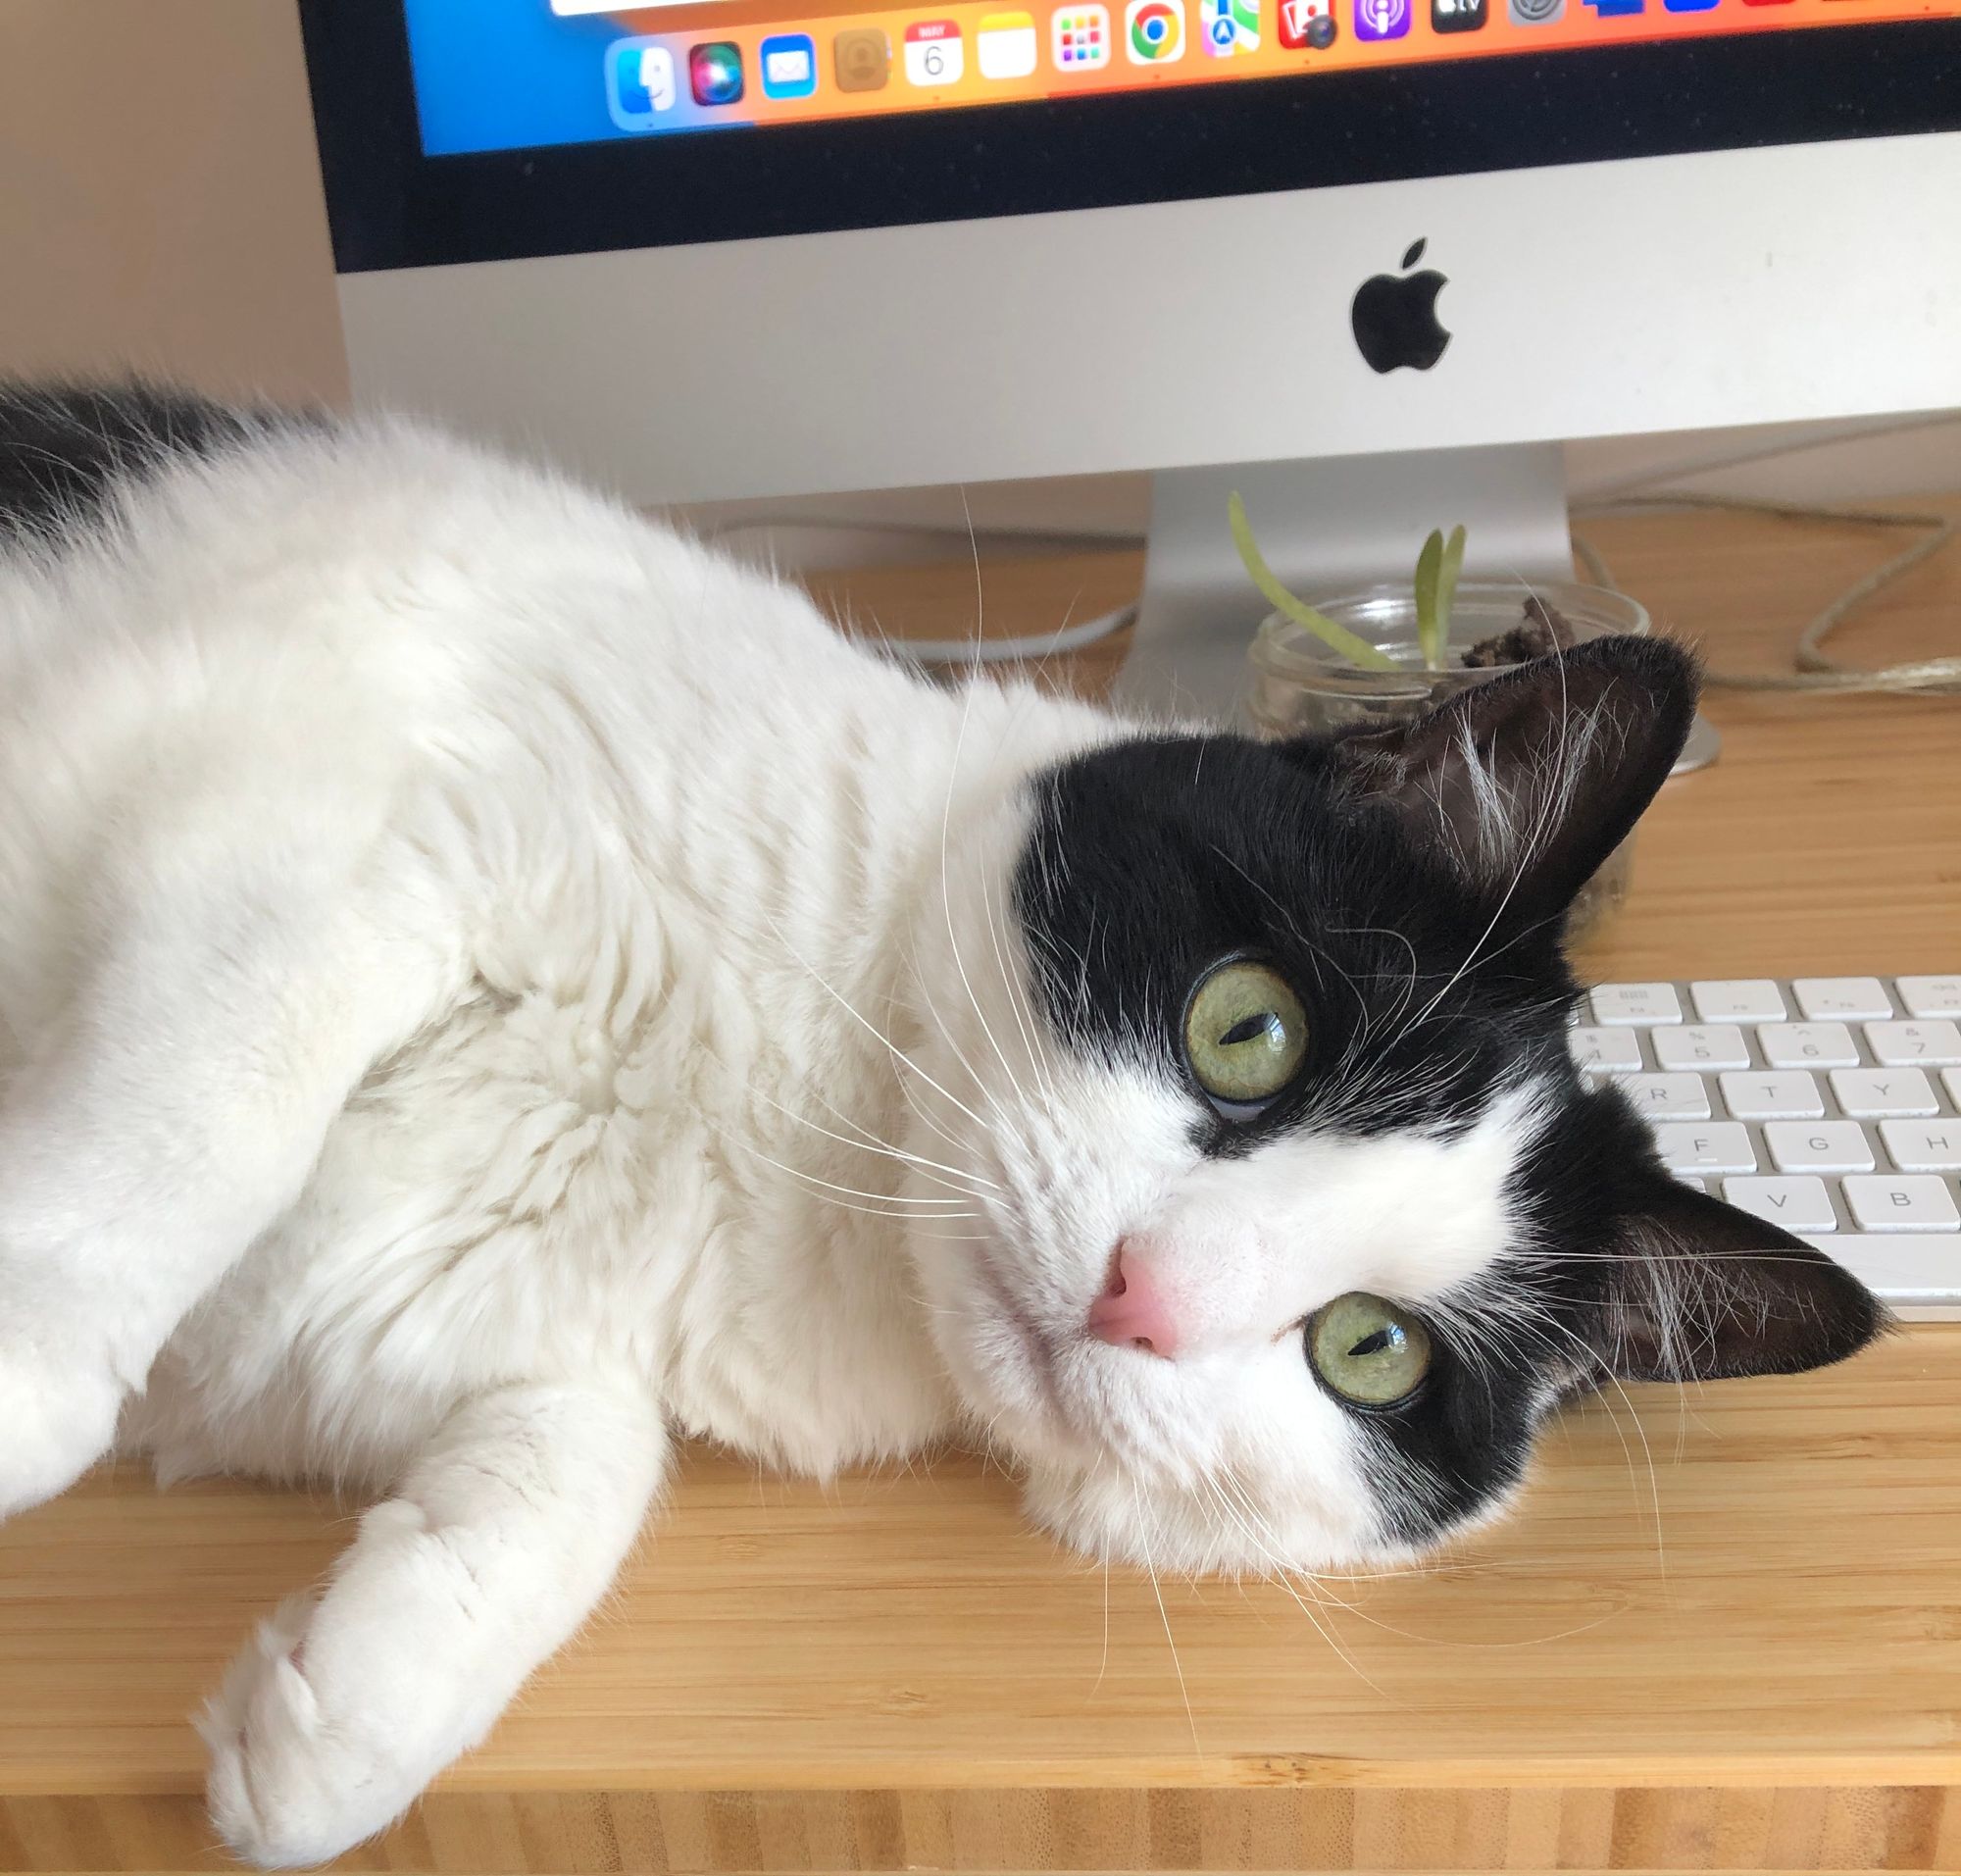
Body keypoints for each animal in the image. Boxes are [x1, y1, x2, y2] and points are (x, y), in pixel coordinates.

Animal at [0, 388, 1875, 1867]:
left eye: (1370, 1348)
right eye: (1247, 1029)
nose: (1140, 1294)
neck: (809, 1154)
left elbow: (588, 1453)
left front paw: (345, 1705)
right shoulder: (314, 792)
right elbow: (233, 1070)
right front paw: (30, 1368)